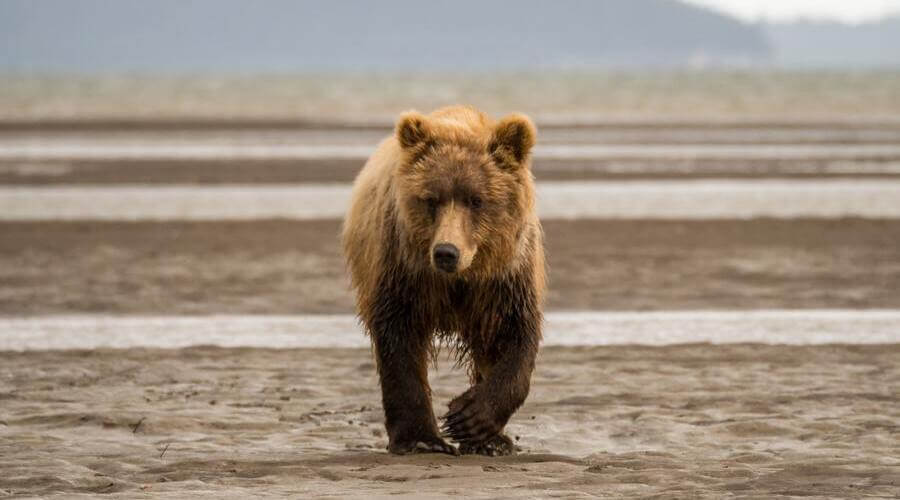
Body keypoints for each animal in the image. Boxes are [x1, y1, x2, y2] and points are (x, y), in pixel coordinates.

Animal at [342, 105, 545, 456]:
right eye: (431, 199)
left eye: (476, 200)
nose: (446, 252)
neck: (463, 276)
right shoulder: (404, 272)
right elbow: (399, 339)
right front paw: (421, 438)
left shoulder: (505, 278)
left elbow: (514, 334)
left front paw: (474, 422)